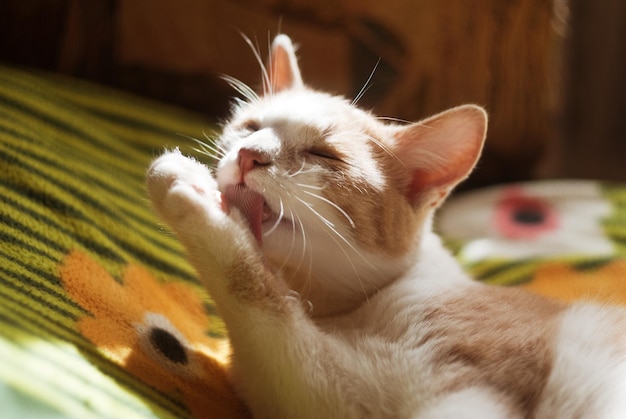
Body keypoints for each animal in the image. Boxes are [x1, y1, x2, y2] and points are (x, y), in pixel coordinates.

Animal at [147, 34, 626, 418]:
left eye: (324, 154)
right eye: (249, 127)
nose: (249, 154)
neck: (348, 310)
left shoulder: (477, 387)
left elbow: (257, 294)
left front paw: (192, 193)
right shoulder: (328, 392)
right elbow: (278, 329)